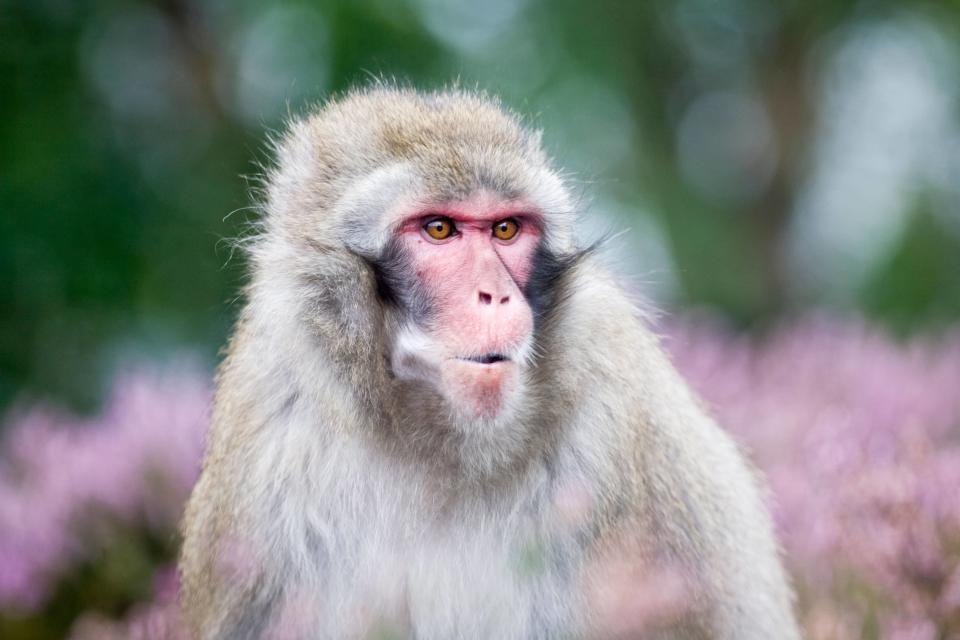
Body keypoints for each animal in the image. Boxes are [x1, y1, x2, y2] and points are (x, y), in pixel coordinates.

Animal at [180, 86, 804, 640]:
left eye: (506, 228)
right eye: (439, 228)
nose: (496, 296)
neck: (443, 444)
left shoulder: (624, 417)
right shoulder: (264, 439)